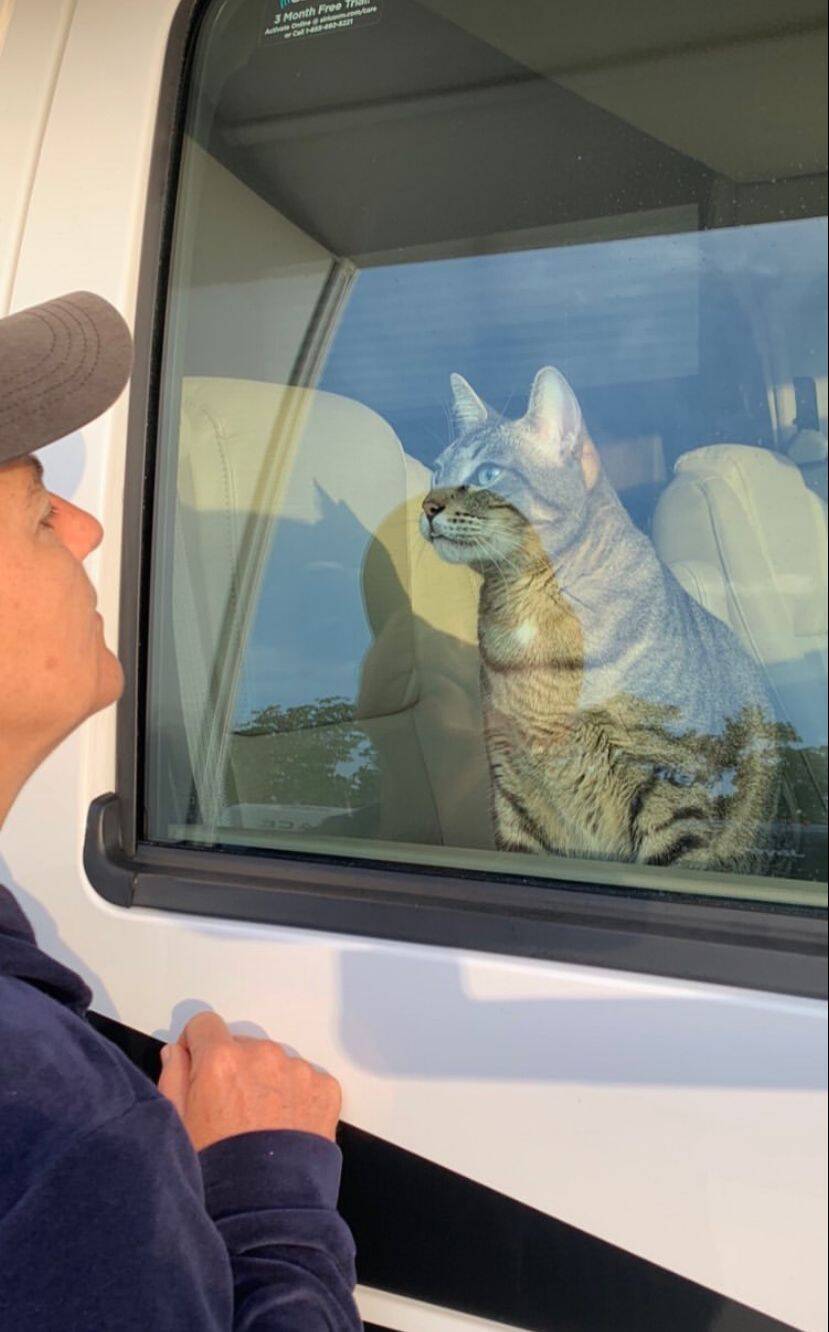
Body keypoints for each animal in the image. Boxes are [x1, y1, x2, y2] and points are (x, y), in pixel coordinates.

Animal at [421, 367, 778, 863]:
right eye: (438, 471)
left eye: (487, 473)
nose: (427, 506)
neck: (527, 606)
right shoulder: (512, 789)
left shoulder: (671, 786)